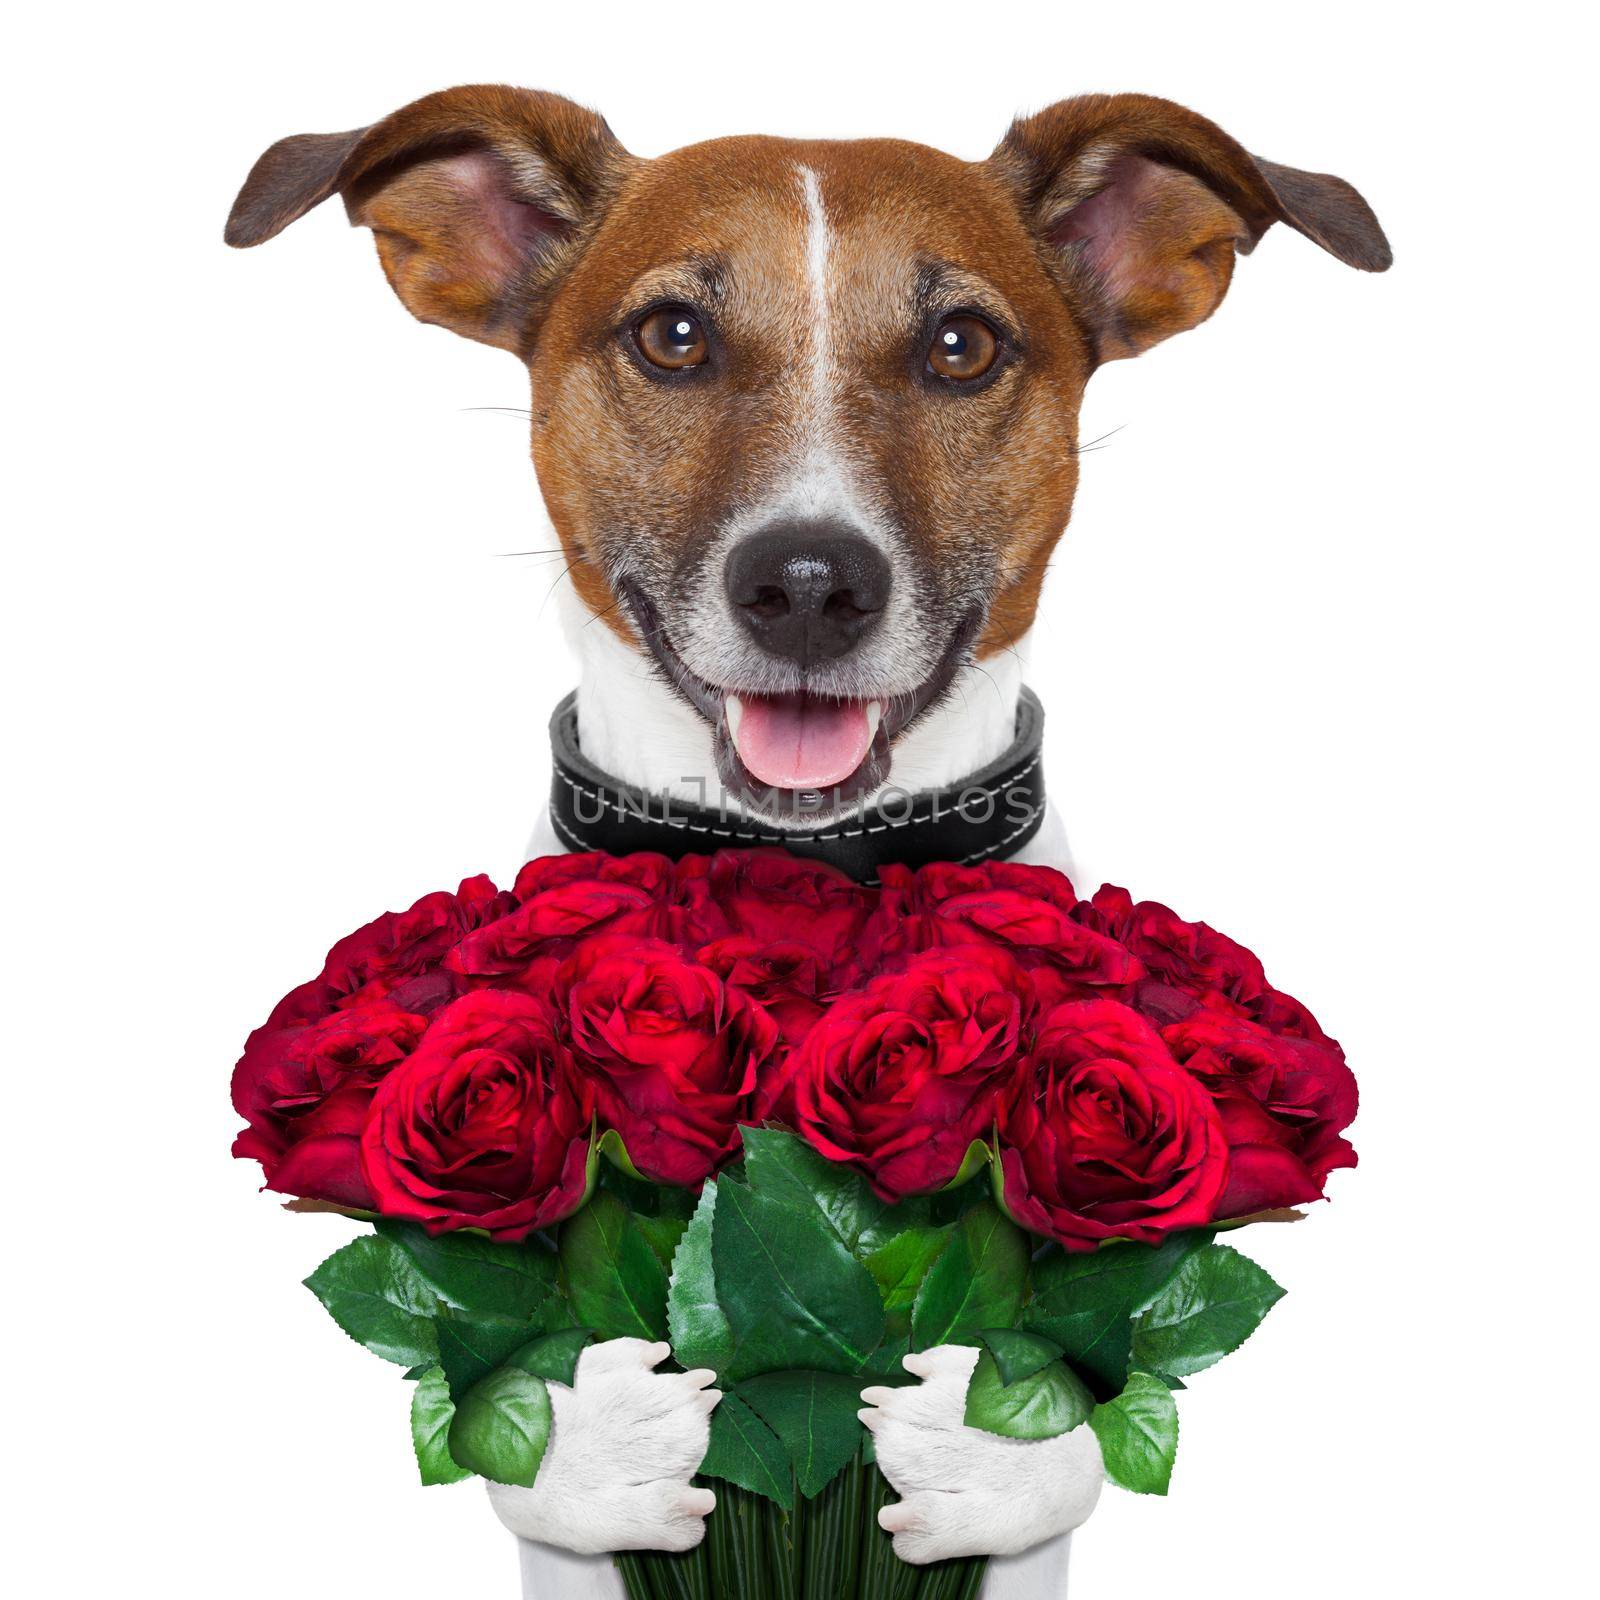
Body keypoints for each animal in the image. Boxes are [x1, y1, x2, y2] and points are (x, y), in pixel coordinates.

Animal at [225, 84, 1388, 1587]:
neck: (803, 884)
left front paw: (977, 1454)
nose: (809, 584)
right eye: (673, 335)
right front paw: (609, 1441)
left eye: (961, 346)